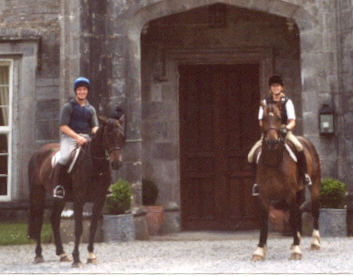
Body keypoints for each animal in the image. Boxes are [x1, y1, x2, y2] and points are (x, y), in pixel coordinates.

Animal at [27, 113, 124, 266]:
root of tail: (37, 152)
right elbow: (79, 229)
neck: (96, 165)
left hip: (60, 199)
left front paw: (91, 256)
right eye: (108, 135)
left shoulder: (100, 200)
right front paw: (77, 259)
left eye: (122, 136)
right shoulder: (79, 200)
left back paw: (62, 253)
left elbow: (93, 226)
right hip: (38, 193)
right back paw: (38, 255)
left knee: (54, 219)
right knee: (39, 221)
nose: (116, 163)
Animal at [250, 102, 322, 262]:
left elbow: (293, 217)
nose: (271, 141)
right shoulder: (264, 195)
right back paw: (299, 239)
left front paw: (296, 250)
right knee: (298, 210)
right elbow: (264, 221)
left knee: (314, 210)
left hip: (314, 185)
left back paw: (315, 242)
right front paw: (260, 250)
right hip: (299, 190)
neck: (273, 161)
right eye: (263, 119)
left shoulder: (289, 193)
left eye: (278, 118)